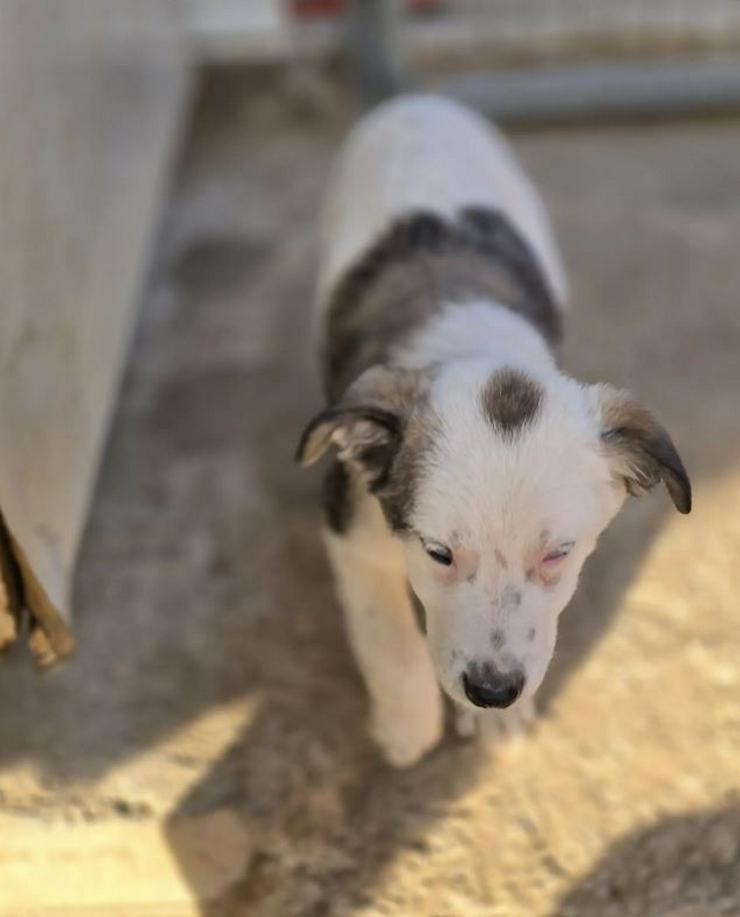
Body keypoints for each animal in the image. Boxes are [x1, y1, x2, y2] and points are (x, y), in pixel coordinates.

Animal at [294, 93, 688, 764]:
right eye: (438, 553)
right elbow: (387, 633)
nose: (493, 692)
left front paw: (497, 721)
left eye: (558, 554)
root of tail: (419, 100)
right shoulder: (351, 525)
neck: (474, 341)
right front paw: (407, 725)